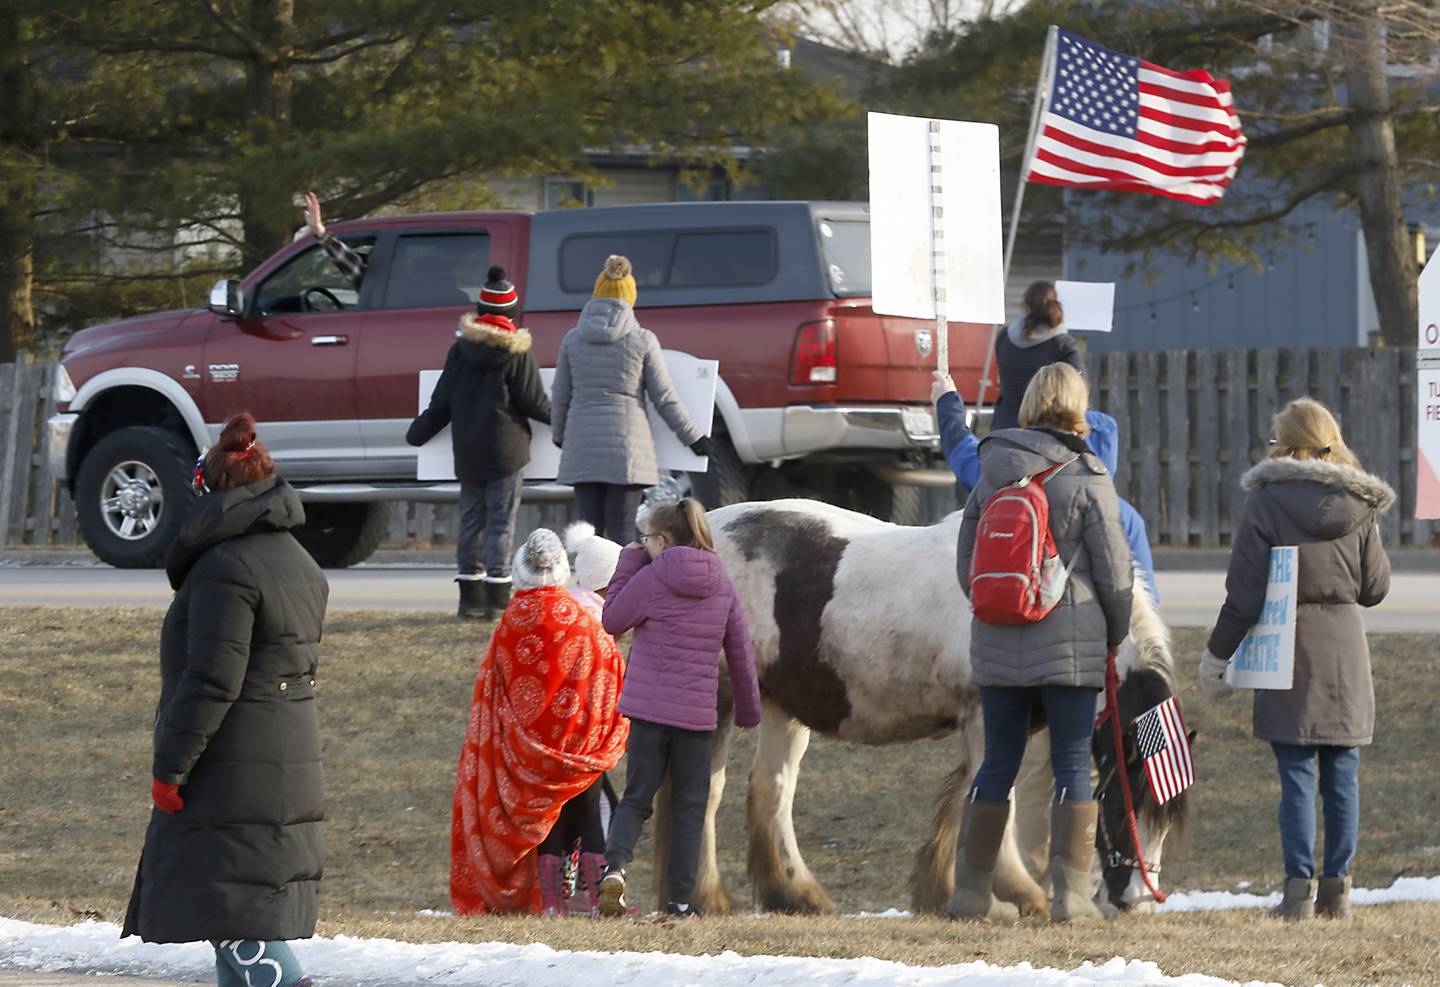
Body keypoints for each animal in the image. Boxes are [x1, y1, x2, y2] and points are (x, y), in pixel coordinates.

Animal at [659, 501, 1186, 916]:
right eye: (1122, 801)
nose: (1137, 900)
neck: (1044, 607)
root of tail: (699, 535)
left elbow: (968, 798)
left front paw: (947, 890)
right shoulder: (988, 719)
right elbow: (998, 797)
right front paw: (1019, 896)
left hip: (781, 708)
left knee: (772, 789)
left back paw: (797, 895)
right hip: (718, 703)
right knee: (705, 792)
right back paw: (707, 898)